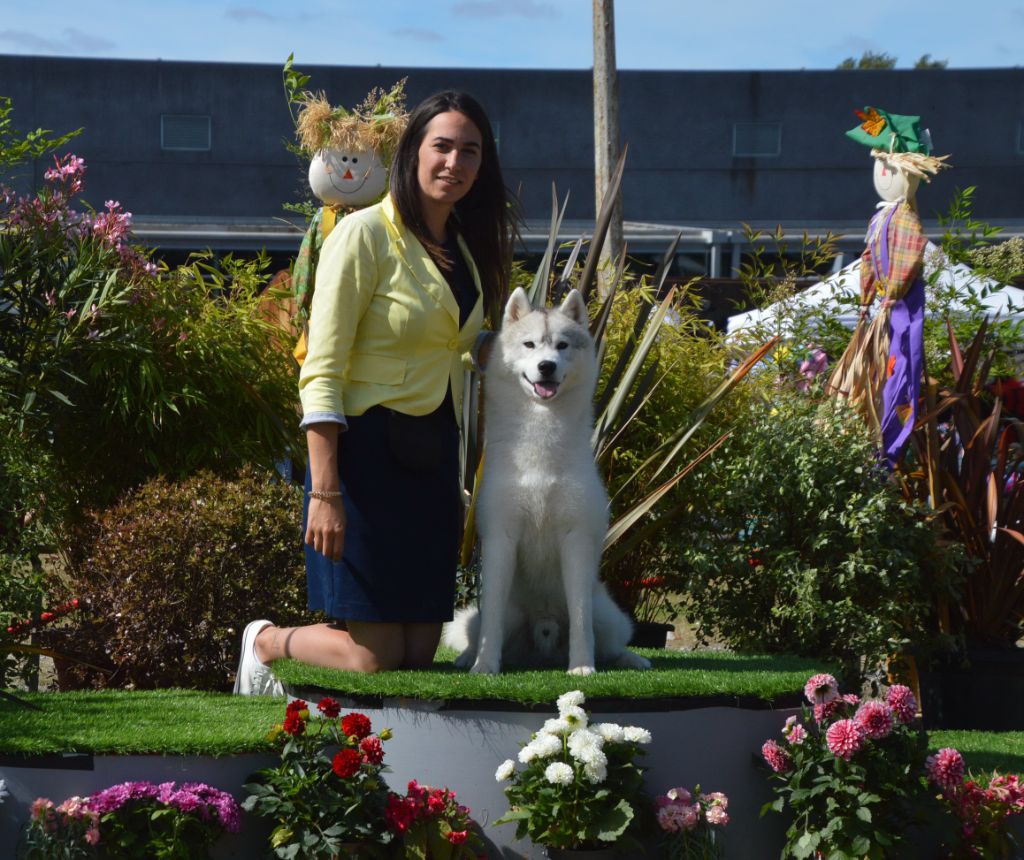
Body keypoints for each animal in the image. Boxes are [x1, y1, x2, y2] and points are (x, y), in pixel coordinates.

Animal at [446, 284, 651, 675]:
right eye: (529, 345)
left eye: (562, 345)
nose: (546, 366)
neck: (540, 449)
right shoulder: (500, 539)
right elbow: (491, 622)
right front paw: (485, 666)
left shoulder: (576, 541)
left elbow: (581, 619)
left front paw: (582, 667)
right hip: (493, 615)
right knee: (480, 628)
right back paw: (468, 658)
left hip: (609, 616)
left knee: (611, 641)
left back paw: (631, 659)